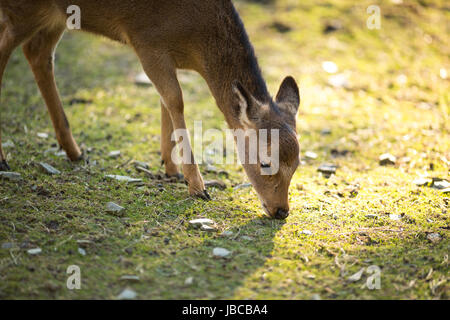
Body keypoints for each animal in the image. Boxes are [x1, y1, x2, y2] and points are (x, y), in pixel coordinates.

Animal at [1, 0, 302, 219]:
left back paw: (73, 150)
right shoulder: (146, 41)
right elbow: (175, 99)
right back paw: (5, 159)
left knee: (37, 51)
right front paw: (197, 186)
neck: (194, 40)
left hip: (53, 16)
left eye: (297, 163)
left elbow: (164, 100)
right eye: (265, 162)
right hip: (24, 8)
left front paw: (171, 168)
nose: (281, 211)